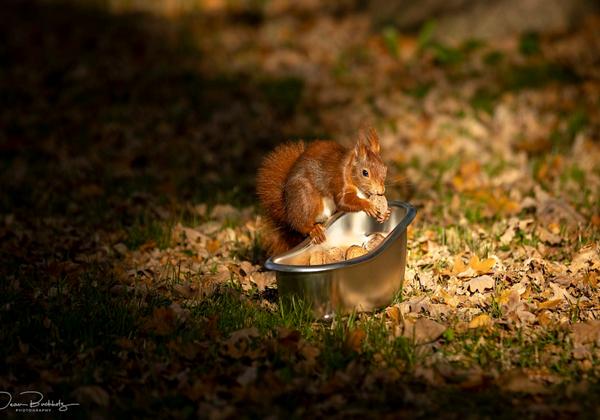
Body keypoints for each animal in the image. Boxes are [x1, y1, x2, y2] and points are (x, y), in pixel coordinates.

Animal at [256, 128, 392, 254]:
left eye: (385, 168)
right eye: (365, 173)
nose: (381, 191)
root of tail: (287, 209)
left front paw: (385, 213)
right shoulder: (339, 179)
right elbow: (344, 201)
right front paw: (368, 205)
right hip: (305, 198)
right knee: (300, 223)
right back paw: (313, 230)